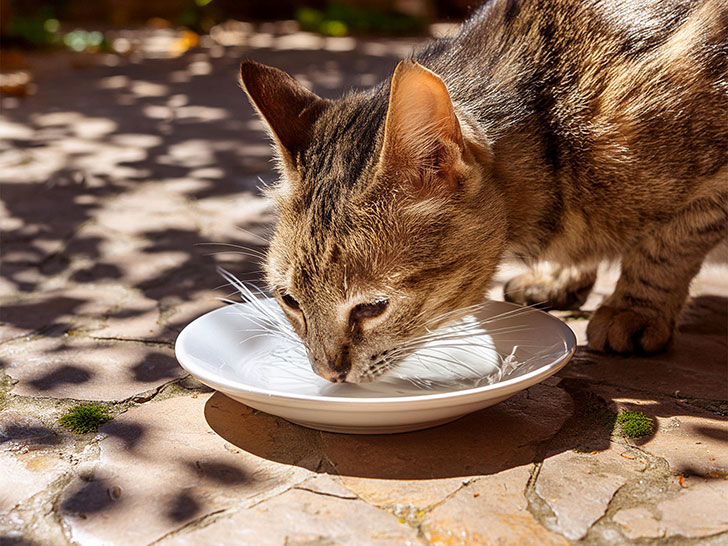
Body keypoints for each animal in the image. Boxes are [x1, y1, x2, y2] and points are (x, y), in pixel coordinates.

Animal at [236, 0, 724, 382]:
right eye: (290, 301)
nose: (327, 374)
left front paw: (635, 309)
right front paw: (559, 275)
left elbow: (666, 247)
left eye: (372, 308)